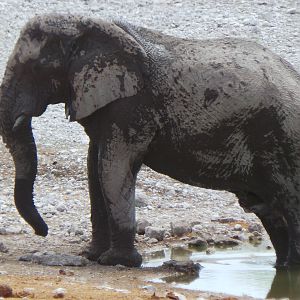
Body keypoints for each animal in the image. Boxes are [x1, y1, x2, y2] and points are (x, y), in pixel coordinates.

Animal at [0, 14, 300, 268]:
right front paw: (92, 256)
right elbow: (94, 171)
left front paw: (117, 262)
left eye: (38, 68)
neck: (95, 26)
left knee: (289, 200)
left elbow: (112, 169)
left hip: (283, 136)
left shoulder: (132, 106)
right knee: (269, 208)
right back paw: (282, 267)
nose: (43, 232)